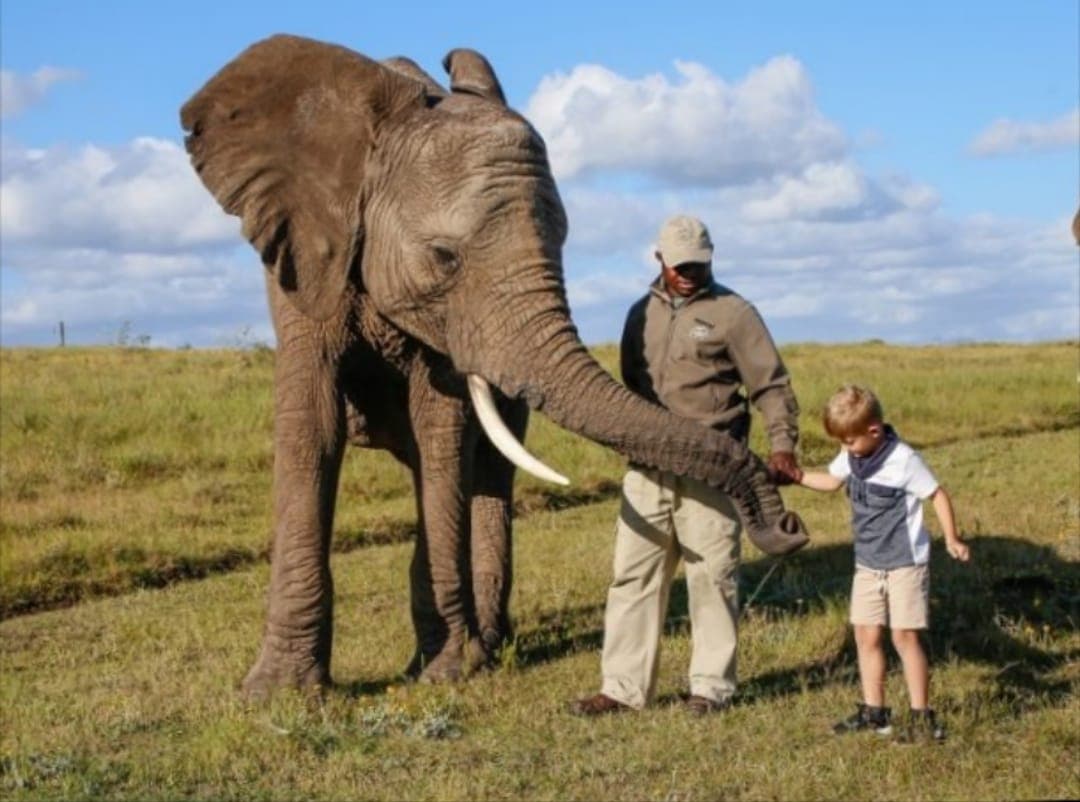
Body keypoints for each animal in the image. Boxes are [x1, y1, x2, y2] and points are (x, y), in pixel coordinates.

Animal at [180, 34, 808, 698]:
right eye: (443, 257)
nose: (789, 524)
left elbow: (442, 433)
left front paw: (448, 670)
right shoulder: (306, 258)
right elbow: (312, 427)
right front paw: (277, 692)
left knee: (489, 470)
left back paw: (490, 643)